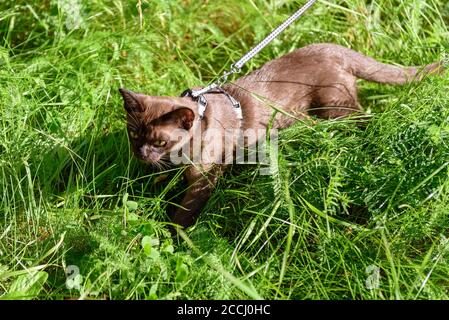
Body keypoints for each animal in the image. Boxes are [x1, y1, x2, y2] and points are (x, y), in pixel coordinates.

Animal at [118, 43, 440, 231]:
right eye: (134, 134)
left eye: (160, 141)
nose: (140, 153)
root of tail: (334, 47)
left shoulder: (203, 179)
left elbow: (184, 214)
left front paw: (173, 237)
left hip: (337, 109)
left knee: (366, 120)